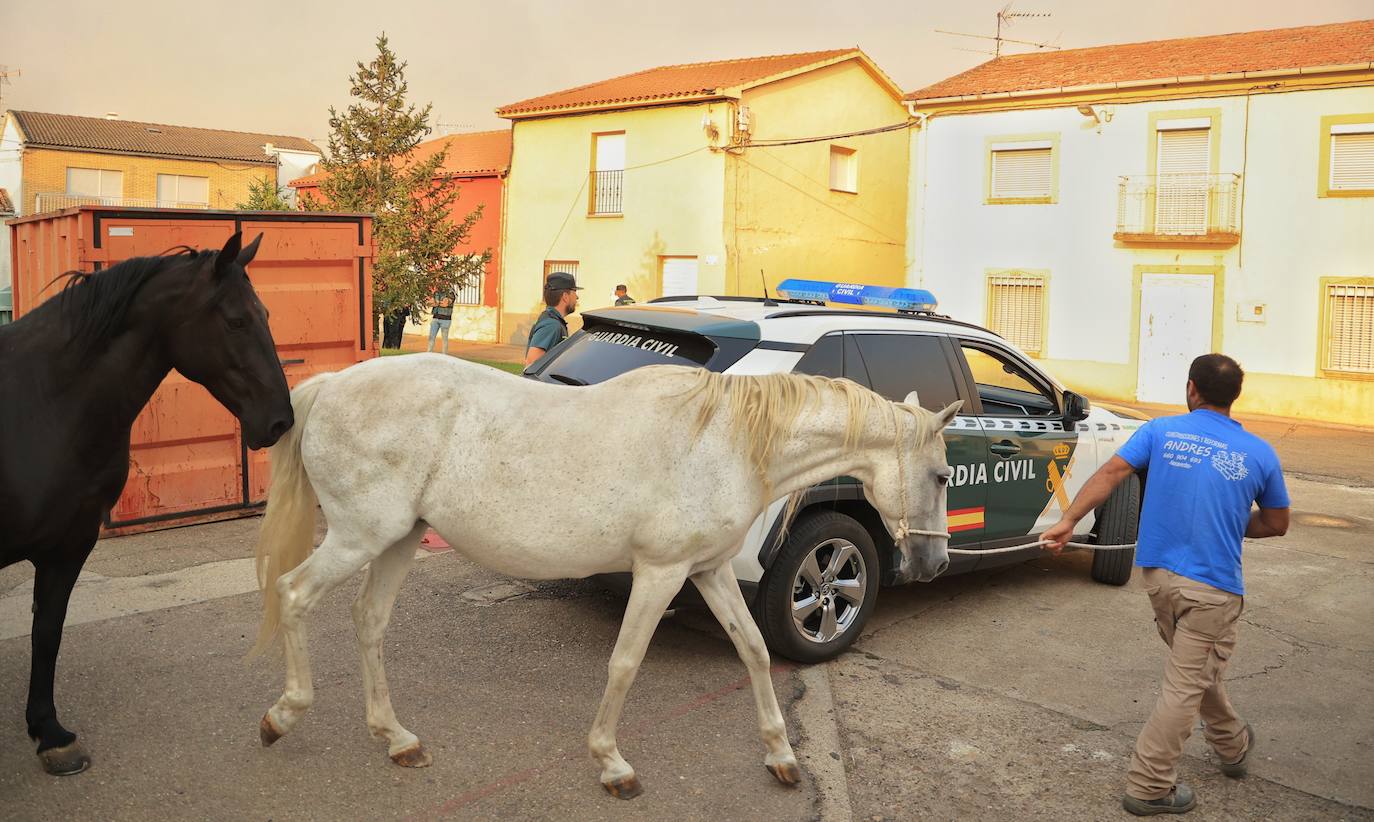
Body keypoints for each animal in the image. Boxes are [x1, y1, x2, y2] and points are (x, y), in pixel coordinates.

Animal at [1, 233, 292, 780]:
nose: (281, 420)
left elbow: (47, 631)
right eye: (236, 320)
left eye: (267, 313)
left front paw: (49, 733)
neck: (42, 403)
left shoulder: (69, 544)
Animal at [252, 354, 961, 797]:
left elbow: (755, 651)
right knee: (293, 595)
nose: (935, 565)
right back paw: (283, 715)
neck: (723, 442)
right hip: (359, 537)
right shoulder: (661, 572)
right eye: (941, 475)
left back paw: (396, 738)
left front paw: (781, 756)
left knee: (368, 621)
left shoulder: (708, 571)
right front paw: (612, 764)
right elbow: (625, 661)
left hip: (397, 539)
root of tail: (331, 385)